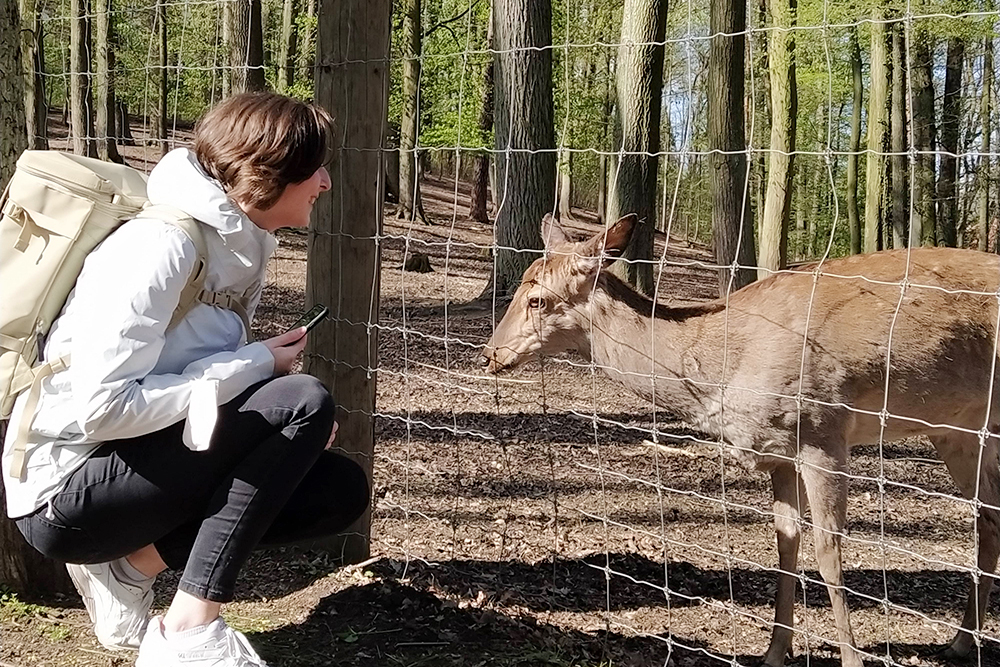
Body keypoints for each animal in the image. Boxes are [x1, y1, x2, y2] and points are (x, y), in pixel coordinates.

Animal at [482, 215, 1000, 667]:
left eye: (536, 299)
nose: (490, 354)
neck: (727, 369)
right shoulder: (777, 449)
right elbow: (786, 544)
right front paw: (773, 653)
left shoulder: (822, 429)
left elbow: (829, 553)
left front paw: (851, 659)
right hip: (959, 431)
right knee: (988, 518)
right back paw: (960, 642)